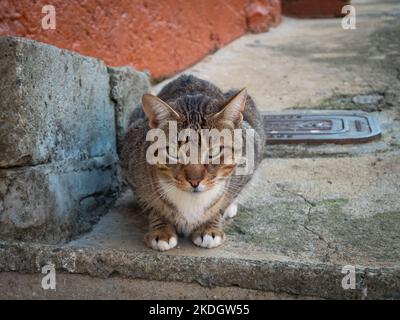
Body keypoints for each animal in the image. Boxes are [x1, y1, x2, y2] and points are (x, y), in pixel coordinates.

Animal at [122, 74, 266, 250]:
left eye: (214, 151)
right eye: (173, 152)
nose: (195, 181)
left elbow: (224, 202)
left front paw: (209, 228)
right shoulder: (130, 168)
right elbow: (151, 206)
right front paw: (161, 231)